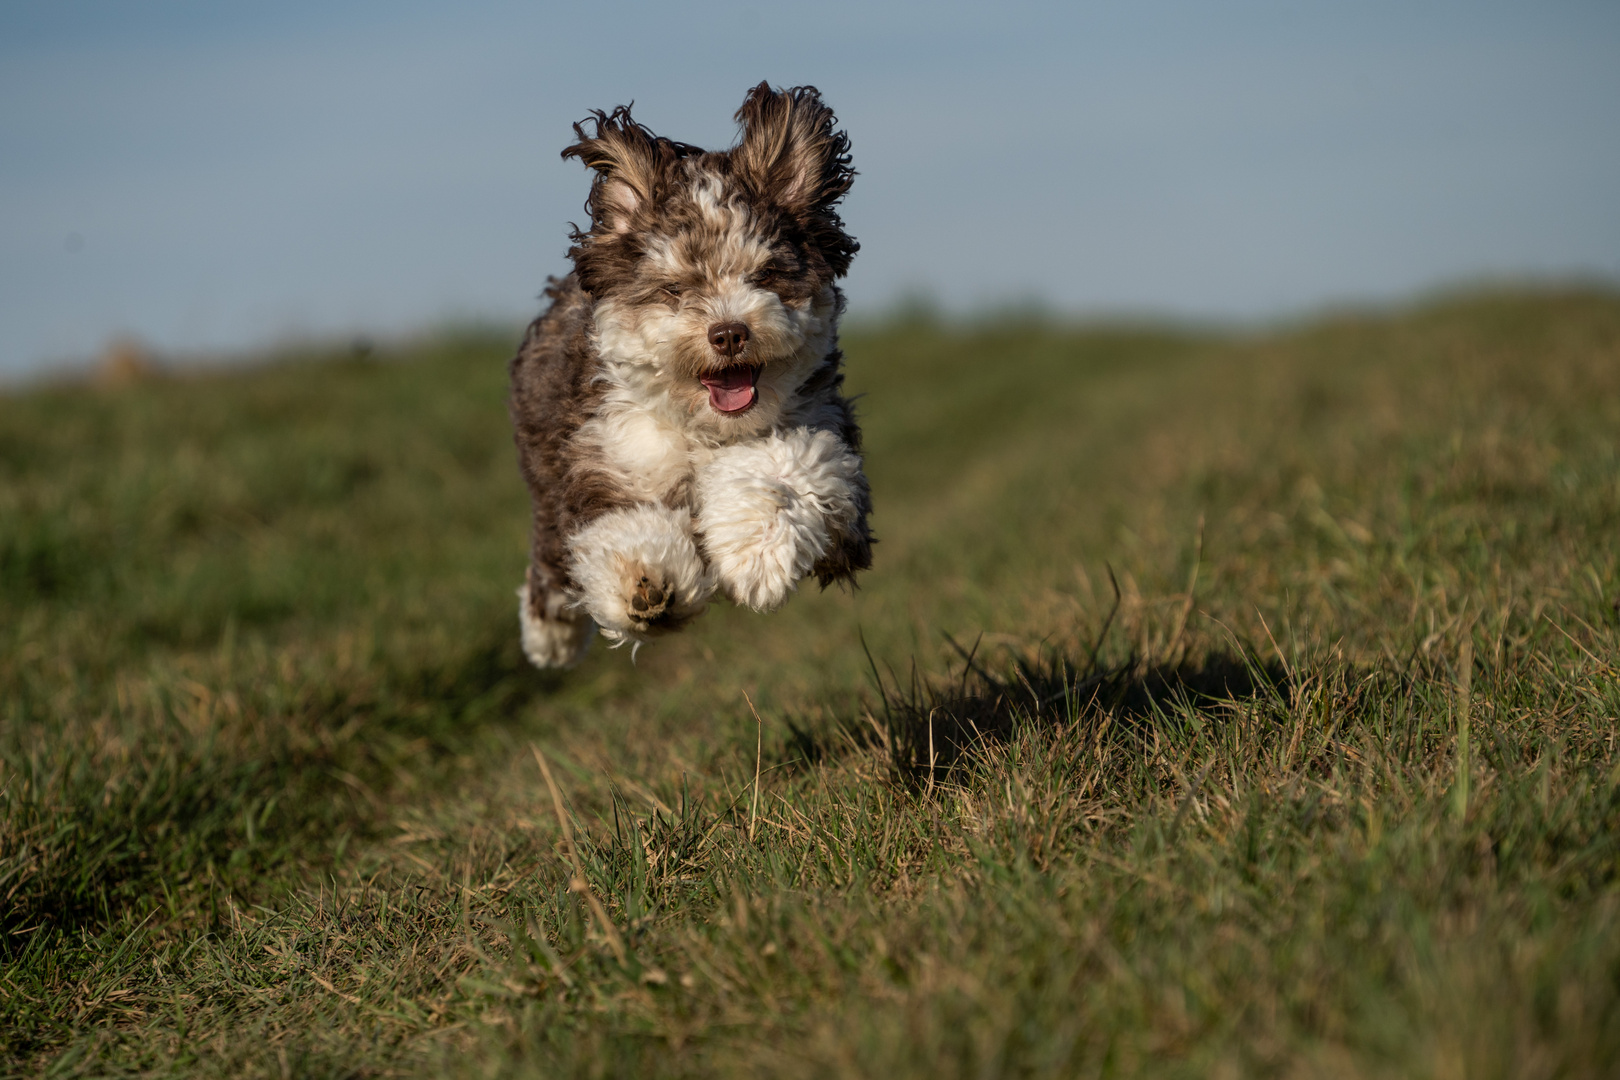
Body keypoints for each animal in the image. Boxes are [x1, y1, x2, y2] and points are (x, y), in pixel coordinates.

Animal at [511, 82, 874, 667]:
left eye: (766, 275)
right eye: (676, 289)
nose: (728, 333)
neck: (706, 429)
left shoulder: (826, 441)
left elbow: (787, 469)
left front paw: (757, 551)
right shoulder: (611, 456)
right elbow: (624, 527)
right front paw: (647, 586)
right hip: (545, 472)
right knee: (550, 556)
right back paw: (551, 636)